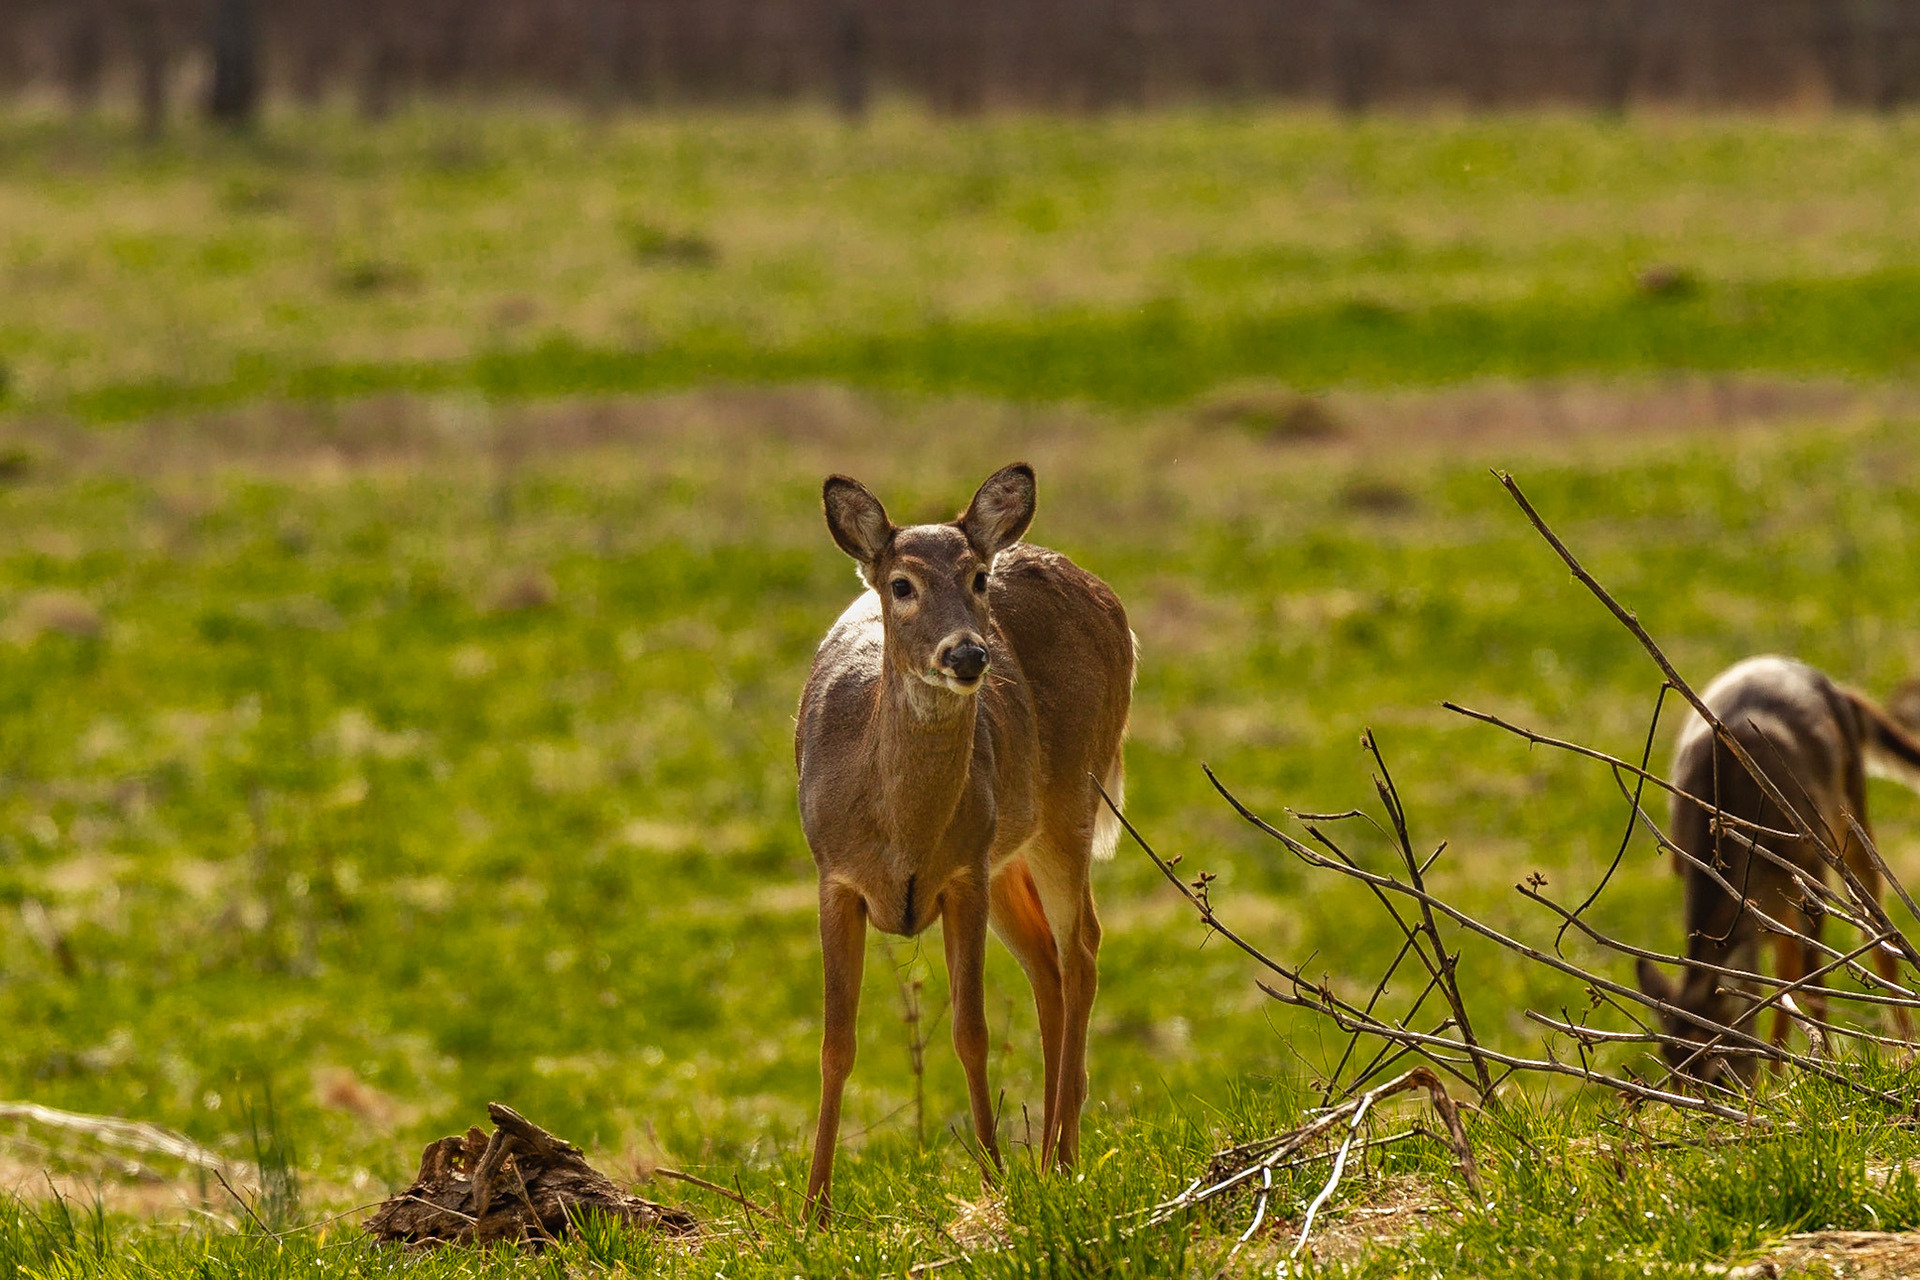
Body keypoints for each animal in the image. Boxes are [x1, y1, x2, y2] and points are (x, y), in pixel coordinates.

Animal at [794, 462, 1134, 1224]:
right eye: (901, 584)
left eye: (979, 578)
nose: (970, 653)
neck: (901, 835)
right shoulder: (834, 876)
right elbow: (835, 1043)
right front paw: (814, 1211)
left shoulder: (963, 875)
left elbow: (970, 1032)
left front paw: (991, 1179)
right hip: (1009, 849)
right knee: (1047, 964)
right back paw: (1049, 1155)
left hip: (1070, 797)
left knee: (1081, 948)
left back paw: (1061, 1158)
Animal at [1635, 655, 1920, 1086]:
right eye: (1673, 1067)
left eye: (1718, 1071)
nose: (1710, 1105)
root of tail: (1834, 686)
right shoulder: (1689, 864)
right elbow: (1773, 985)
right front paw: (1782, 1078)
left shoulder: (1810, 862)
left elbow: (1812, 984)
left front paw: (1823, 1069)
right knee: (1785, 964)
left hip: (1848, 809)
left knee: (1874, 927)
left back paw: (1904, 1046)